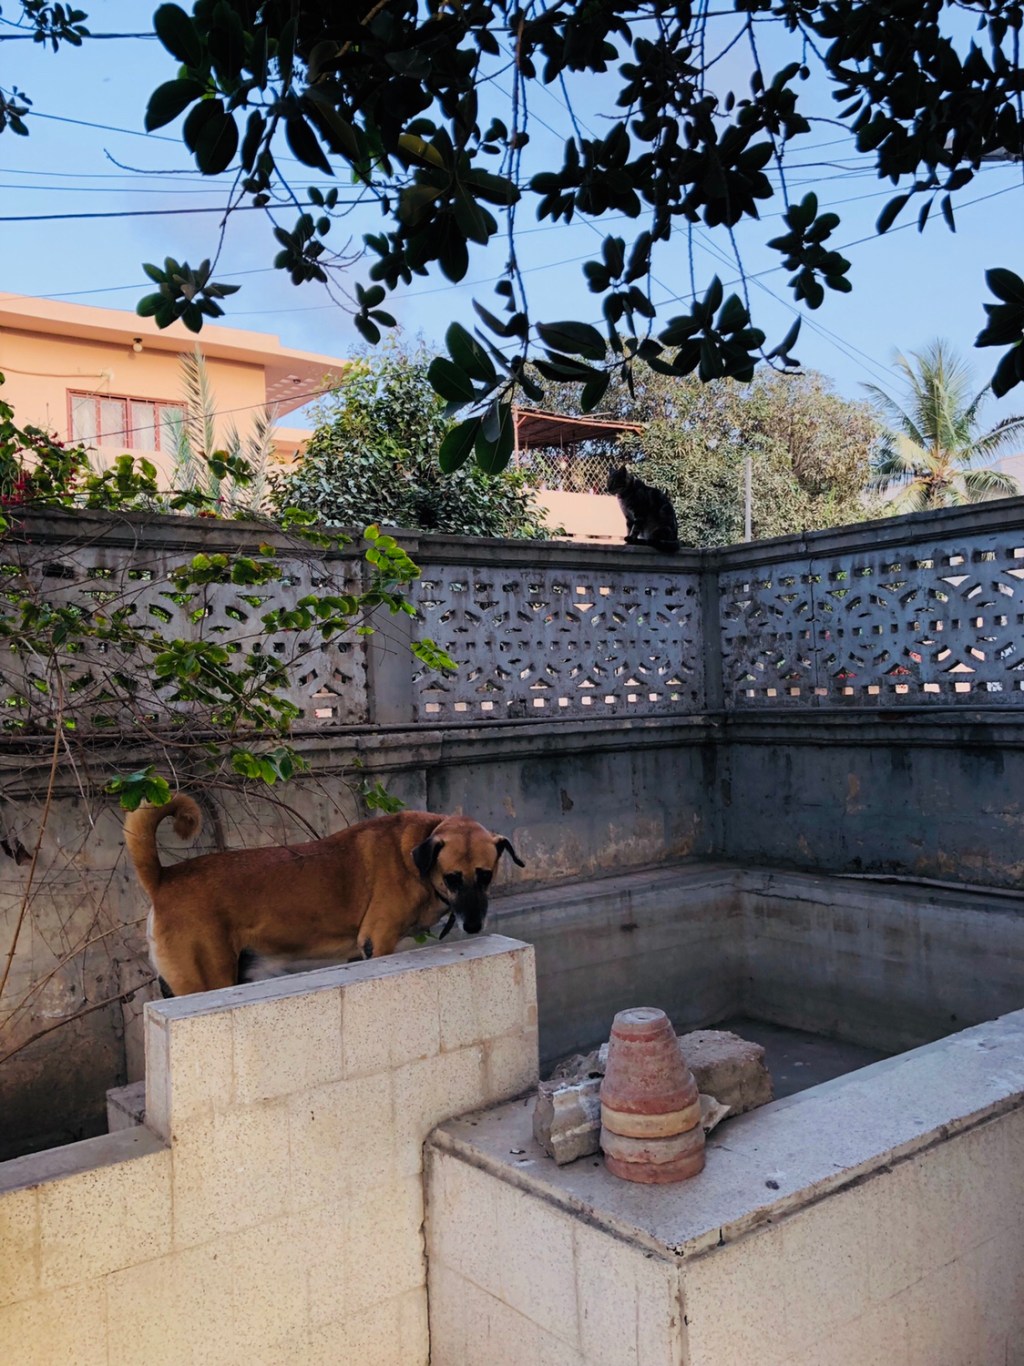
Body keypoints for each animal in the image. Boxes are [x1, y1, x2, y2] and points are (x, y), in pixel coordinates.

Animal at [124, 795, 524, 997]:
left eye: (486, 876)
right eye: (452, 879)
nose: (473, 926)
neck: (416, 854)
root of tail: (164, 877)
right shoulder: (378, 942)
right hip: (207, 978)